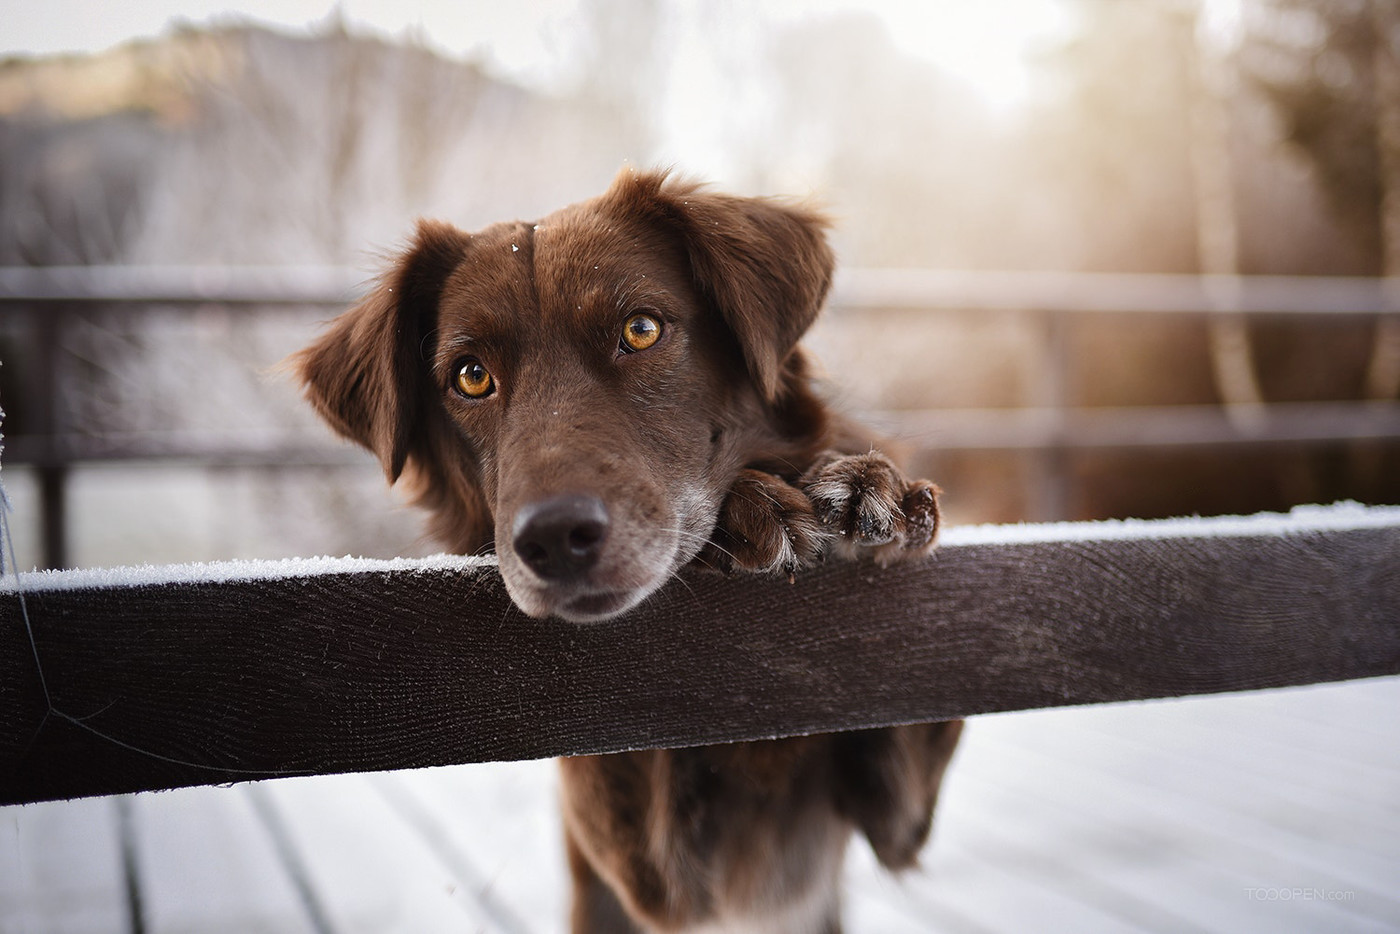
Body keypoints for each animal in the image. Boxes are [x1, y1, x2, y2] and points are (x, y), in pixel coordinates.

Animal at [295, 170, 963, 934]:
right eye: (470, 376)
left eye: (639, 330)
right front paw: (747, 513)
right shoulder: (655, 876)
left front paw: (863, 487)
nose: (554, 539)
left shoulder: (900, 822)